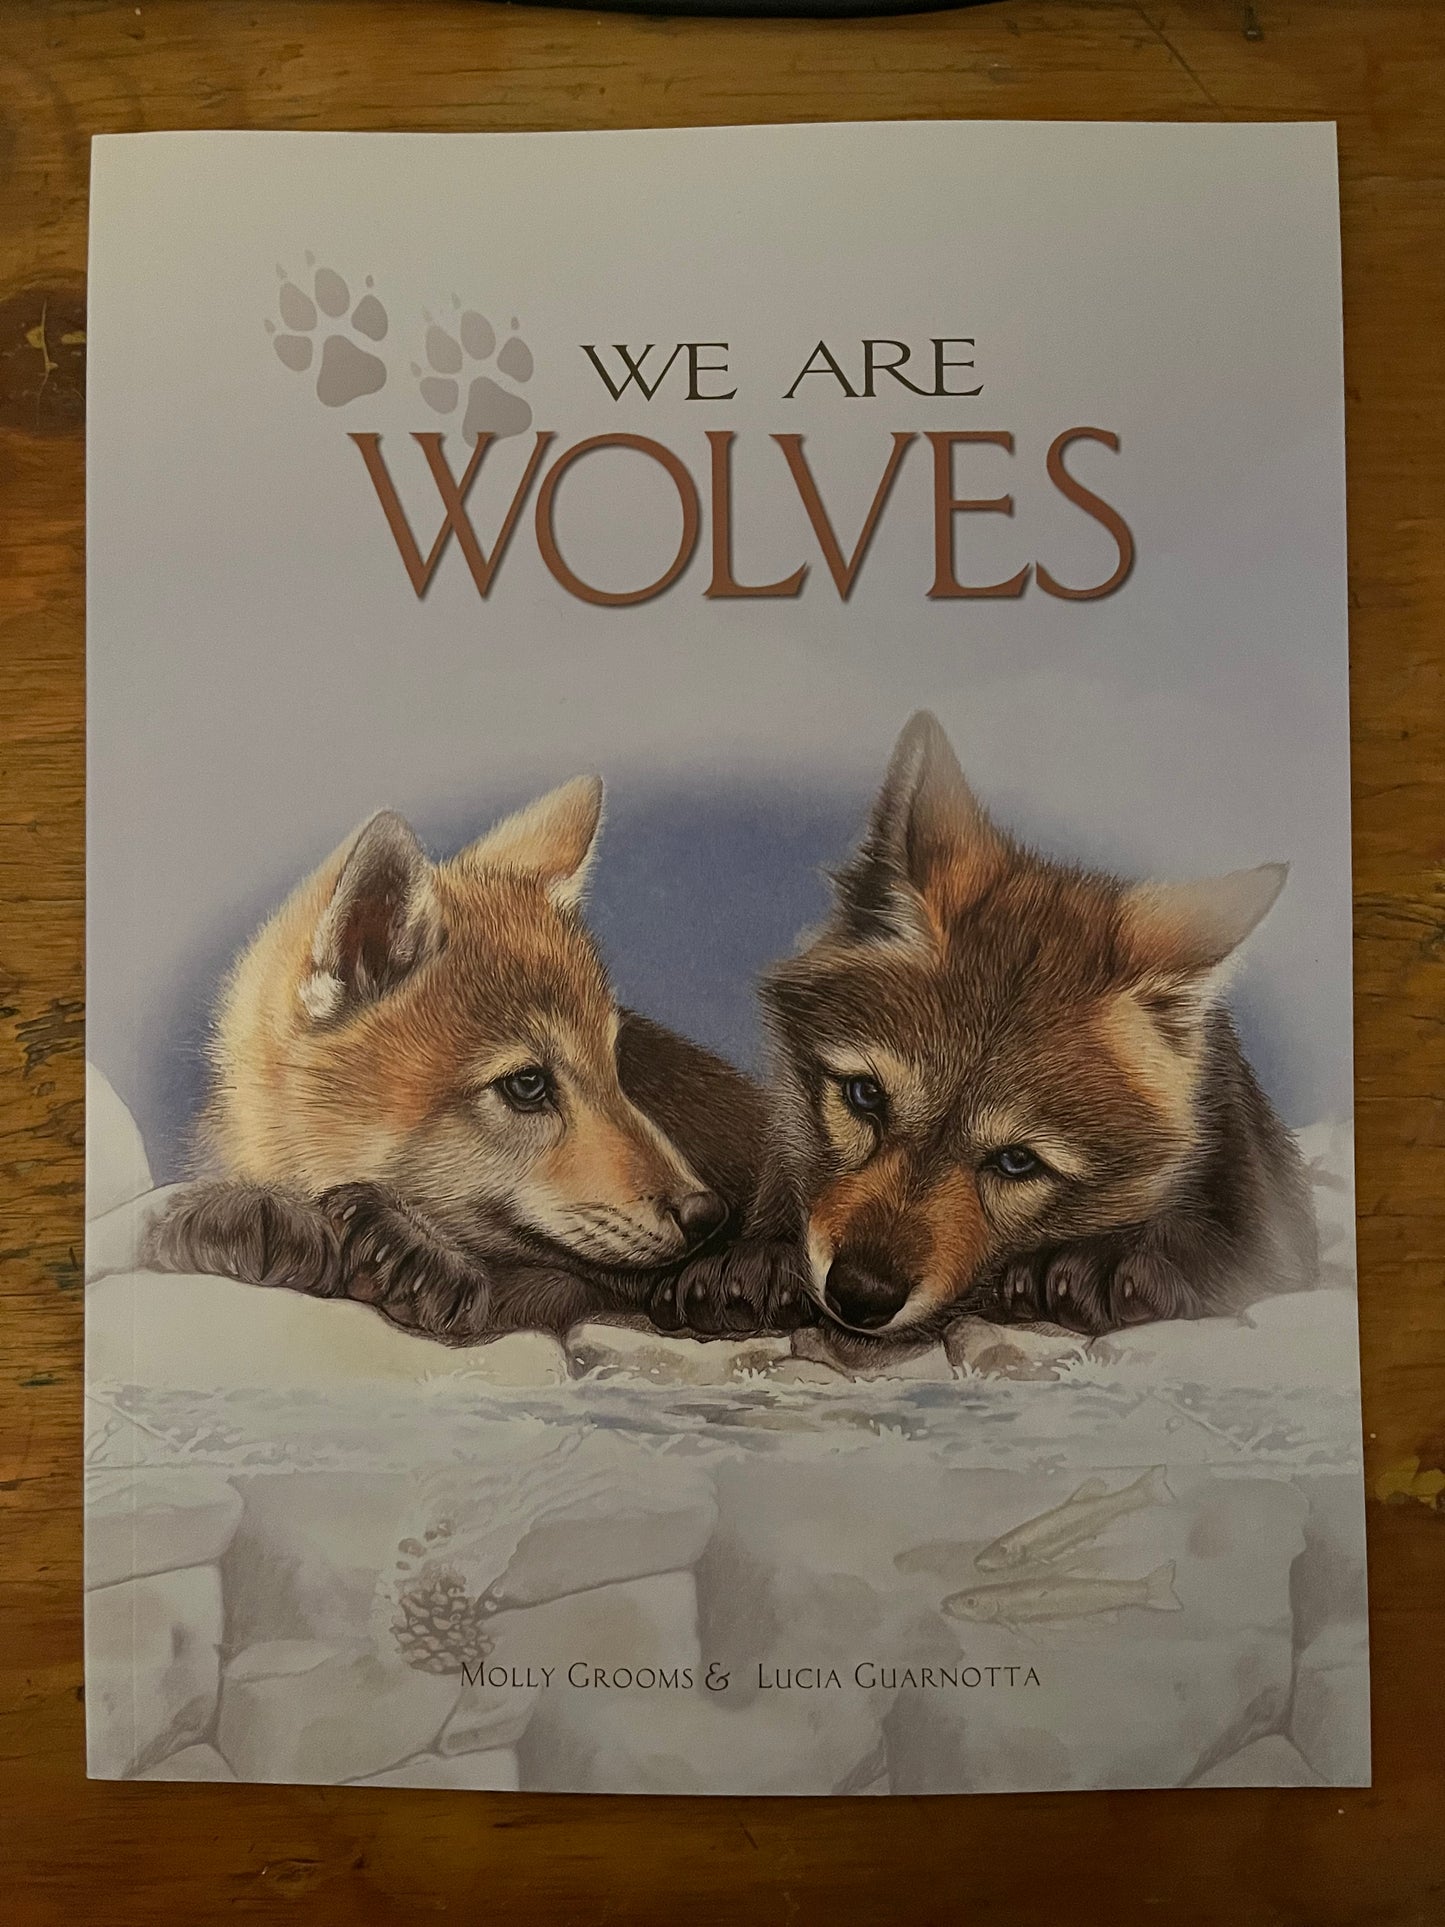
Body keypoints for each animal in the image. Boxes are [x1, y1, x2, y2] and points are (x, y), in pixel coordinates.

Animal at [654, 713, 1317, 1348]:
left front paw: (1103, 1266)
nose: (861, 1295)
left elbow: (1209, 1251)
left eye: (1017, 1162)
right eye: (865, 1097)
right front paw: (757, 1265)